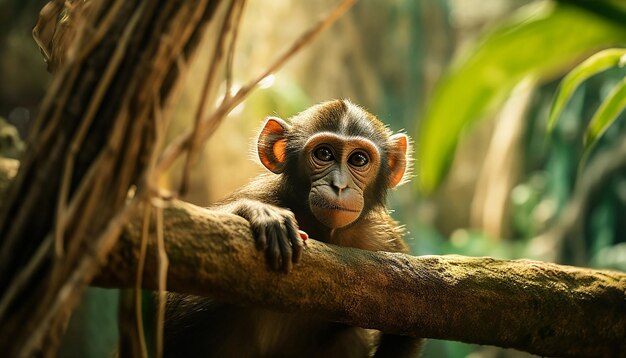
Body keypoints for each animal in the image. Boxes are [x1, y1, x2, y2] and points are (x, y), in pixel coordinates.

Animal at [163, 100, 422, 358]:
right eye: (324, 154)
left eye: (358, 160)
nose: (339, 186)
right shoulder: (266, 194)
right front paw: (256, 212)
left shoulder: (381, 237)